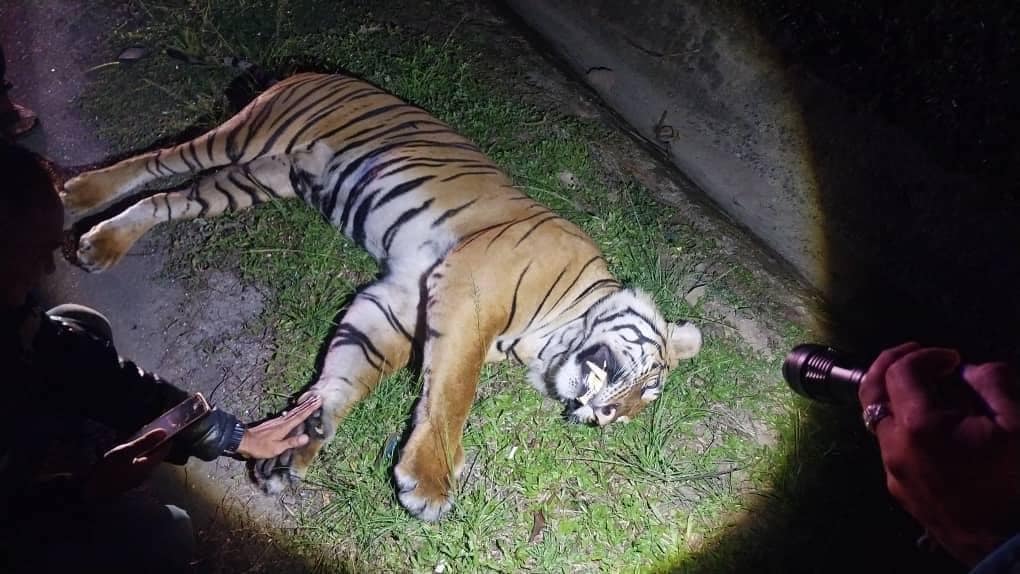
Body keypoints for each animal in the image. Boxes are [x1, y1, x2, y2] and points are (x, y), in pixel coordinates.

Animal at [60, 70, 703, 522]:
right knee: (157, 160)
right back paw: (77, 193)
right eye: (648, 385)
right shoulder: (468, 292)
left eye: (634, 410)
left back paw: (102, 242)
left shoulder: (395, 304)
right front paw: (431, 481)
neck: (545, 339)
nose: (604, 416)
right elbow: (454, 391)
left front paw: (296, 447)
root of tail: (320, 72)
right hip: (244, 135)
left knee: (167, 200)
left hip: (253, 181)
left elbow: (347, 374)